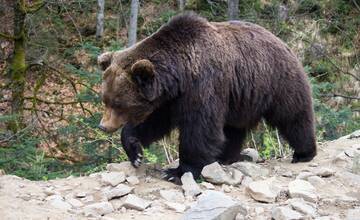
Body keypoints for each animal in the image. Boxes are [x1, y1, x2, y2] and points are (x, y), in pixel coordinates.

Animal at [97, 13, 316, 182]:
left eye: (118, 103)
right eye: (105, 100)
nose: (103, 126)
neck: (180, 75)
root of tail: (283, 43)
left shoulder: (204, 84)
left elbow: (199, 128)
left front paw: (178, 172)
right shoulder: (169, 99)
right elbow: (154, 122)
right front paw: (135, 151)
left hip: (276, 80)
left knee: (292, 115)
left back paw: (303, 153)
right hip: (239, 99)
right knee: (233, 128)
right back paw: (225, 157)